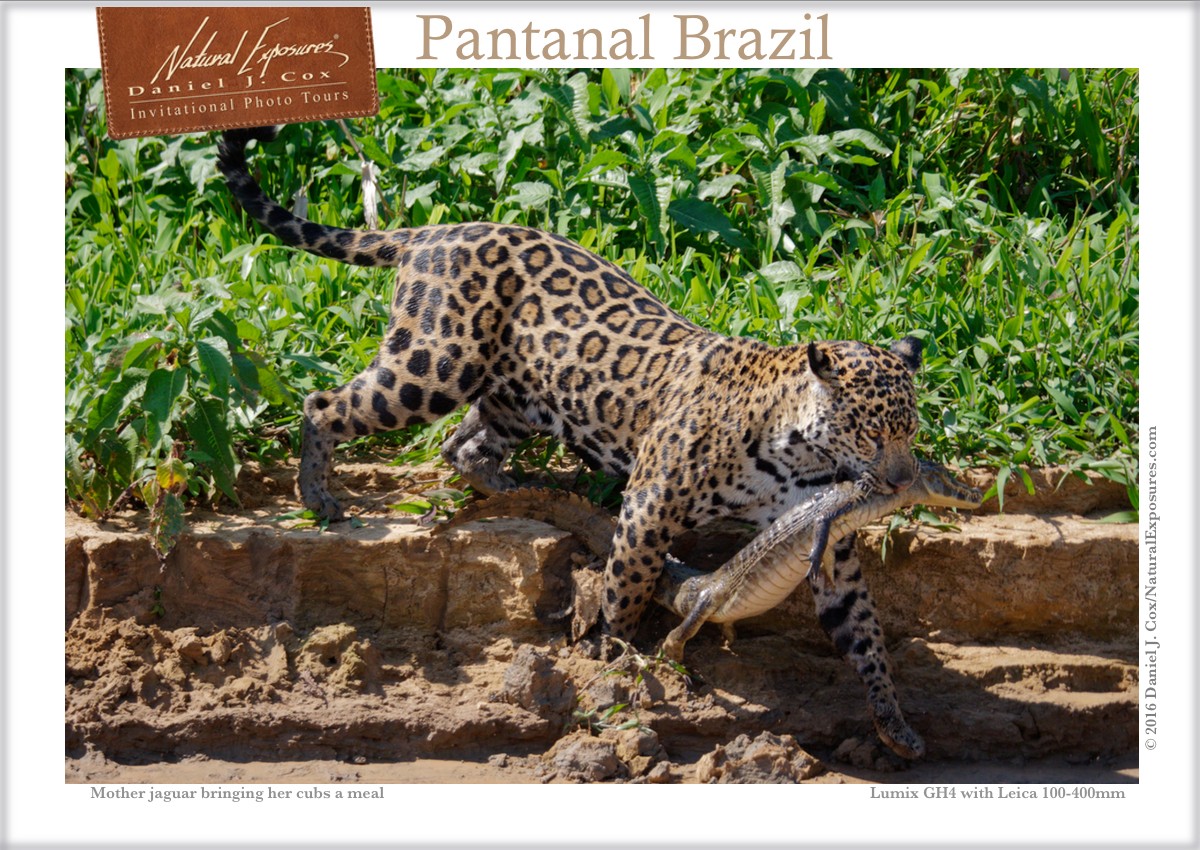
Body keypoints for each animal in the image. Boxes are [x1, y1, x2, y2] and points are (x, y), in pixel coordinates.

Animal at [218, 125, 927, 751]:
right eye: (869, 432)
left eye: (910, 430)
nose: (900, 481)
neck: (797, 450)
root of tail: (433, 231)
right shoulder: (650, 508)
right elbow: (627, 585)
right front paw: (618, 655)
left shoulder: (824, 536)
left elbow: (863, 629)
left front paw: (894, 721)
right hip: (433, 366)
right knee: (324, 405)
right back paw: (319, 497)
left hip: (518, 395)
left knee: (463, 444)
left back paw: (509, 486)